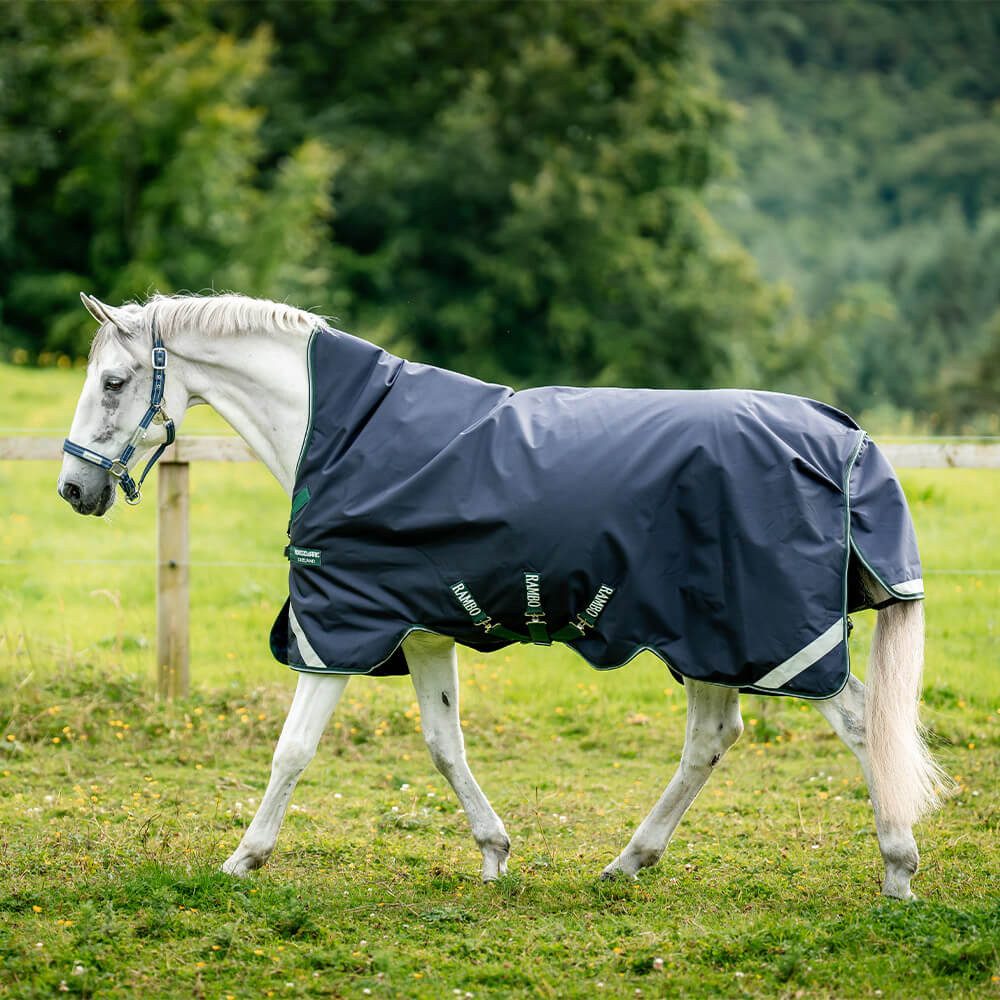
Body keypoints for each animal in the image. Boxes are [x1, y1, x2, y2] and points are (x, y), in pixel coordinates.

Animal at [58, 292, 947, 899]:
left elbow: (293, 750)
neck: (344, 435)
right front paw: (494, 853)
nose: (72, 489)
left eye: (114, 381)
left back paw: (898, 870)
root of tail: (847, 440)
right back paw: (629, 861)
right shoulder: (420, 633)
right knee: (712, 740)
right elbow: (443, 745)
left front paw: (243, 859)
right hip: (707, 638)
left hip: (766, 637)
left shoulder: (337, 632)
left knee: (858, 724)